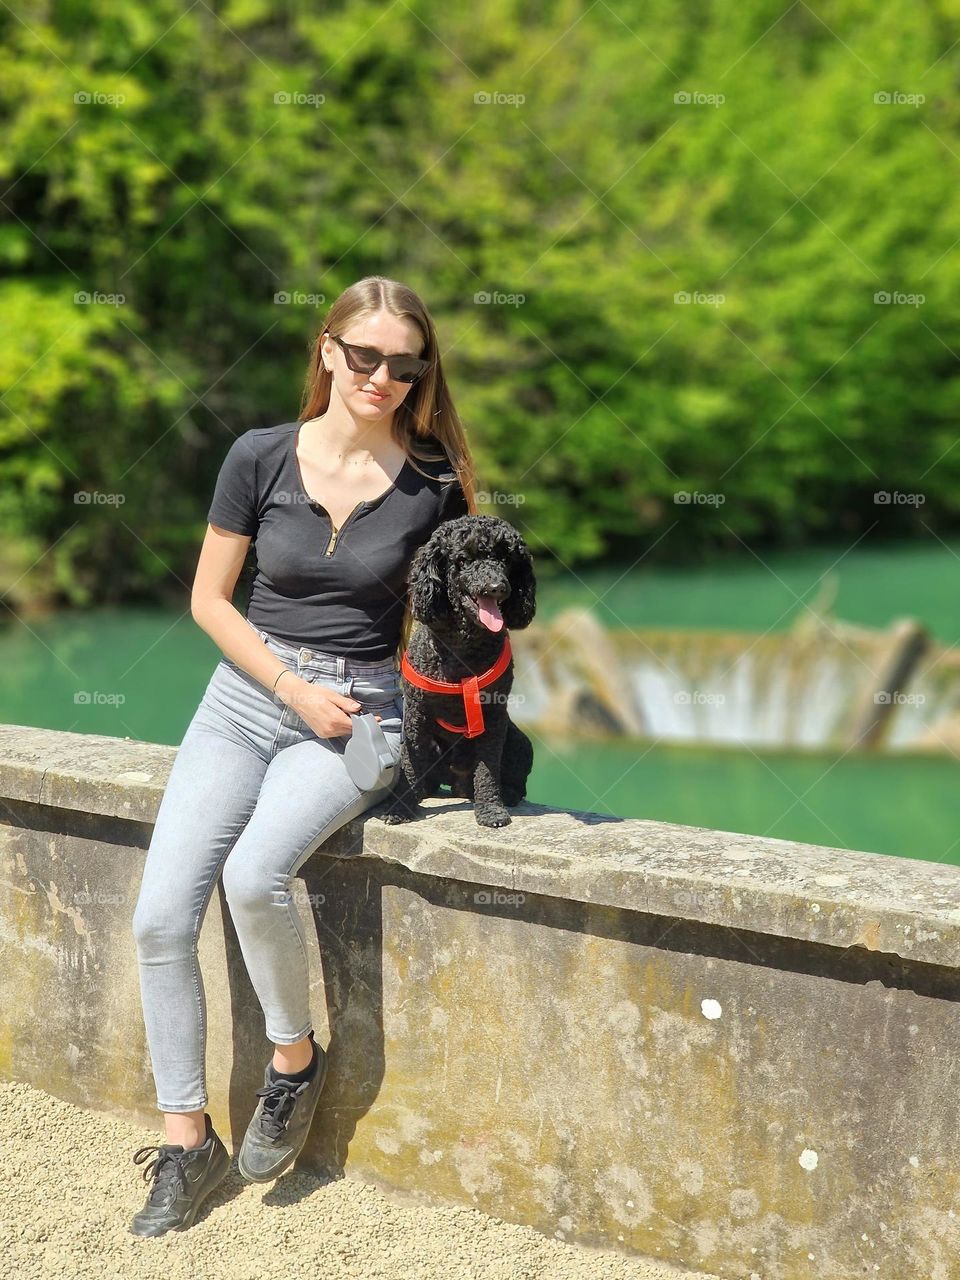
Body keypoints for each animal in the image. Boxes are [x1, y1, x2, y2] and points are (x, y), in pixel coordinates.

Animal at [381, 512, 535, 829]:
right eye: (464, 559)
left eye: (505, 558)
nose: (496, 587)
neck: (462, 650)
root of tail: (459, 783)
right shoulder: (416, 715)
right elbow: (410, 766)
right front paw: (400, 808)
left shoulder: (493, 715)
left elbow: (488, 769)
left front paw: (491, 811)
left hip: (519, 741)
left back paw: (506, 794)